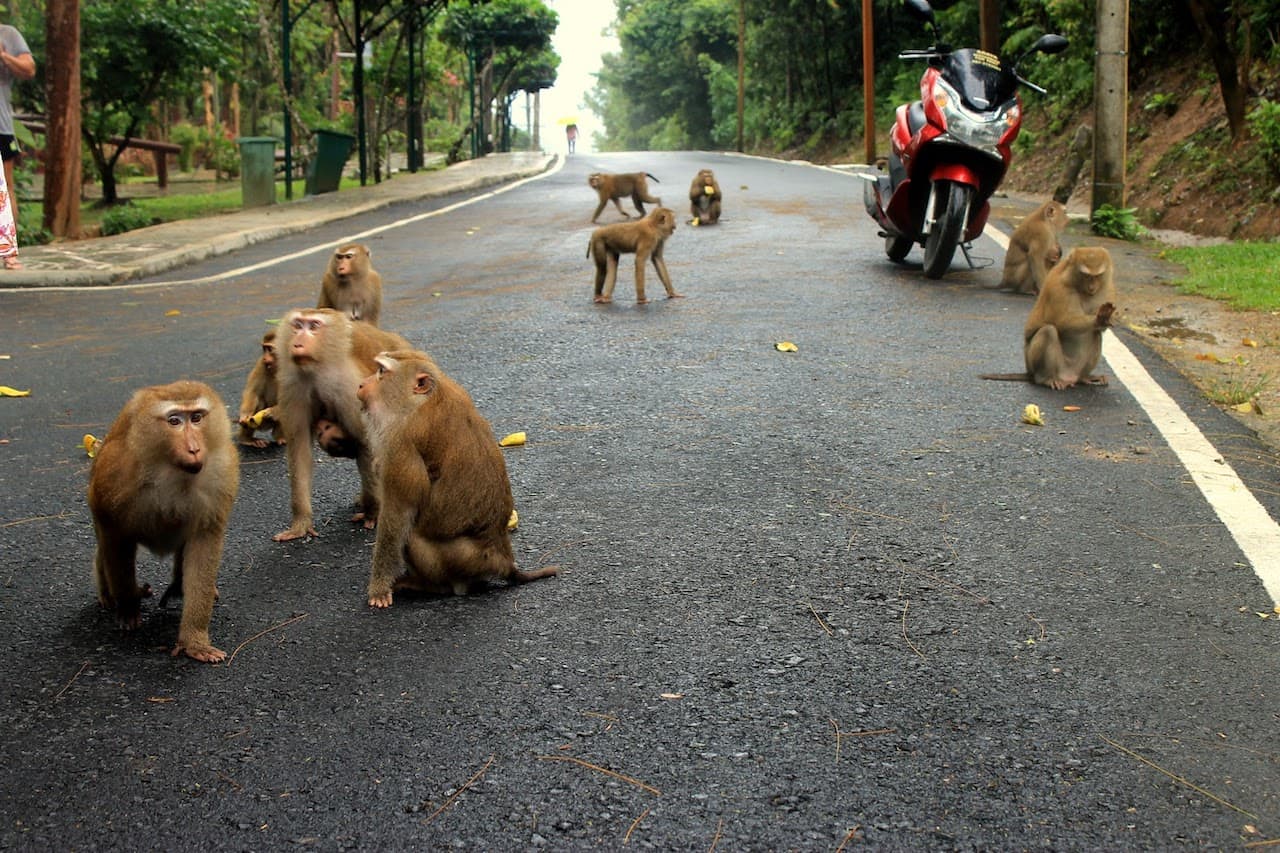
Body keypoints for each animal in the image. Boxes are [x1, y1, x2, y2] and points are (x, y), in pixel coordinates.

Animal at [87, 379, 240, 666]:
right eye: (174, 421)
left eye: (197, 418)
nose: (194, 448)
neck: (171, 471)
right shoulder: (116, 476)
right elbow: (115, 536)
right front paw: (128, 607)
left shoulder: (222, 474)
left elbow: (204, 541)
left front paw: (194, 640)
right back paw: (114, 594)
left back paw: (179, 585)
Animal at [273, 306, 409, 537]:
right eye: (298, 325)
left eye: (314, 326)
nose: (298, 343)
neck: (318, 371)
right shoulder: (294, 387)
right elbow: (299, 449)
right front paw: (300, 522)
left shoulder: (348, 388)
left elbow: (366, 442)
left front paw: (373, 512)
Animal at [360, 348, 560, 604]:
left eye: (381, 371)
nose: (362, 384)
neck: (421, 402)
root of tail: (503, 557)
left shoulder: (401, 444)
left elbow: (397, 515)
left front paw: (379, 589)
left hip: (461, 561)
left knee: (413, 535)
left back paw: (432, 586)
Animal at [983, 244, 1116, 386]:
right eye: (1086, 275)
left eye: (1098, 275)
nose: (1092, 287)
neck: (1079, 287)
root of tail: (1069, 376)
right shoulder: (1058, 287)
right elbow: (1063, 322)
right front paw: (1098, 319)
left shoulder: (1106, 288)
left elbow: (1099, 328)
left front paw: (1104, 319)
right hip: (1036, 363)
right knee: (1048, 331)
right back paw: (1045, 378)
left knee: (1096, 334)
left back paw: (1085, 377)